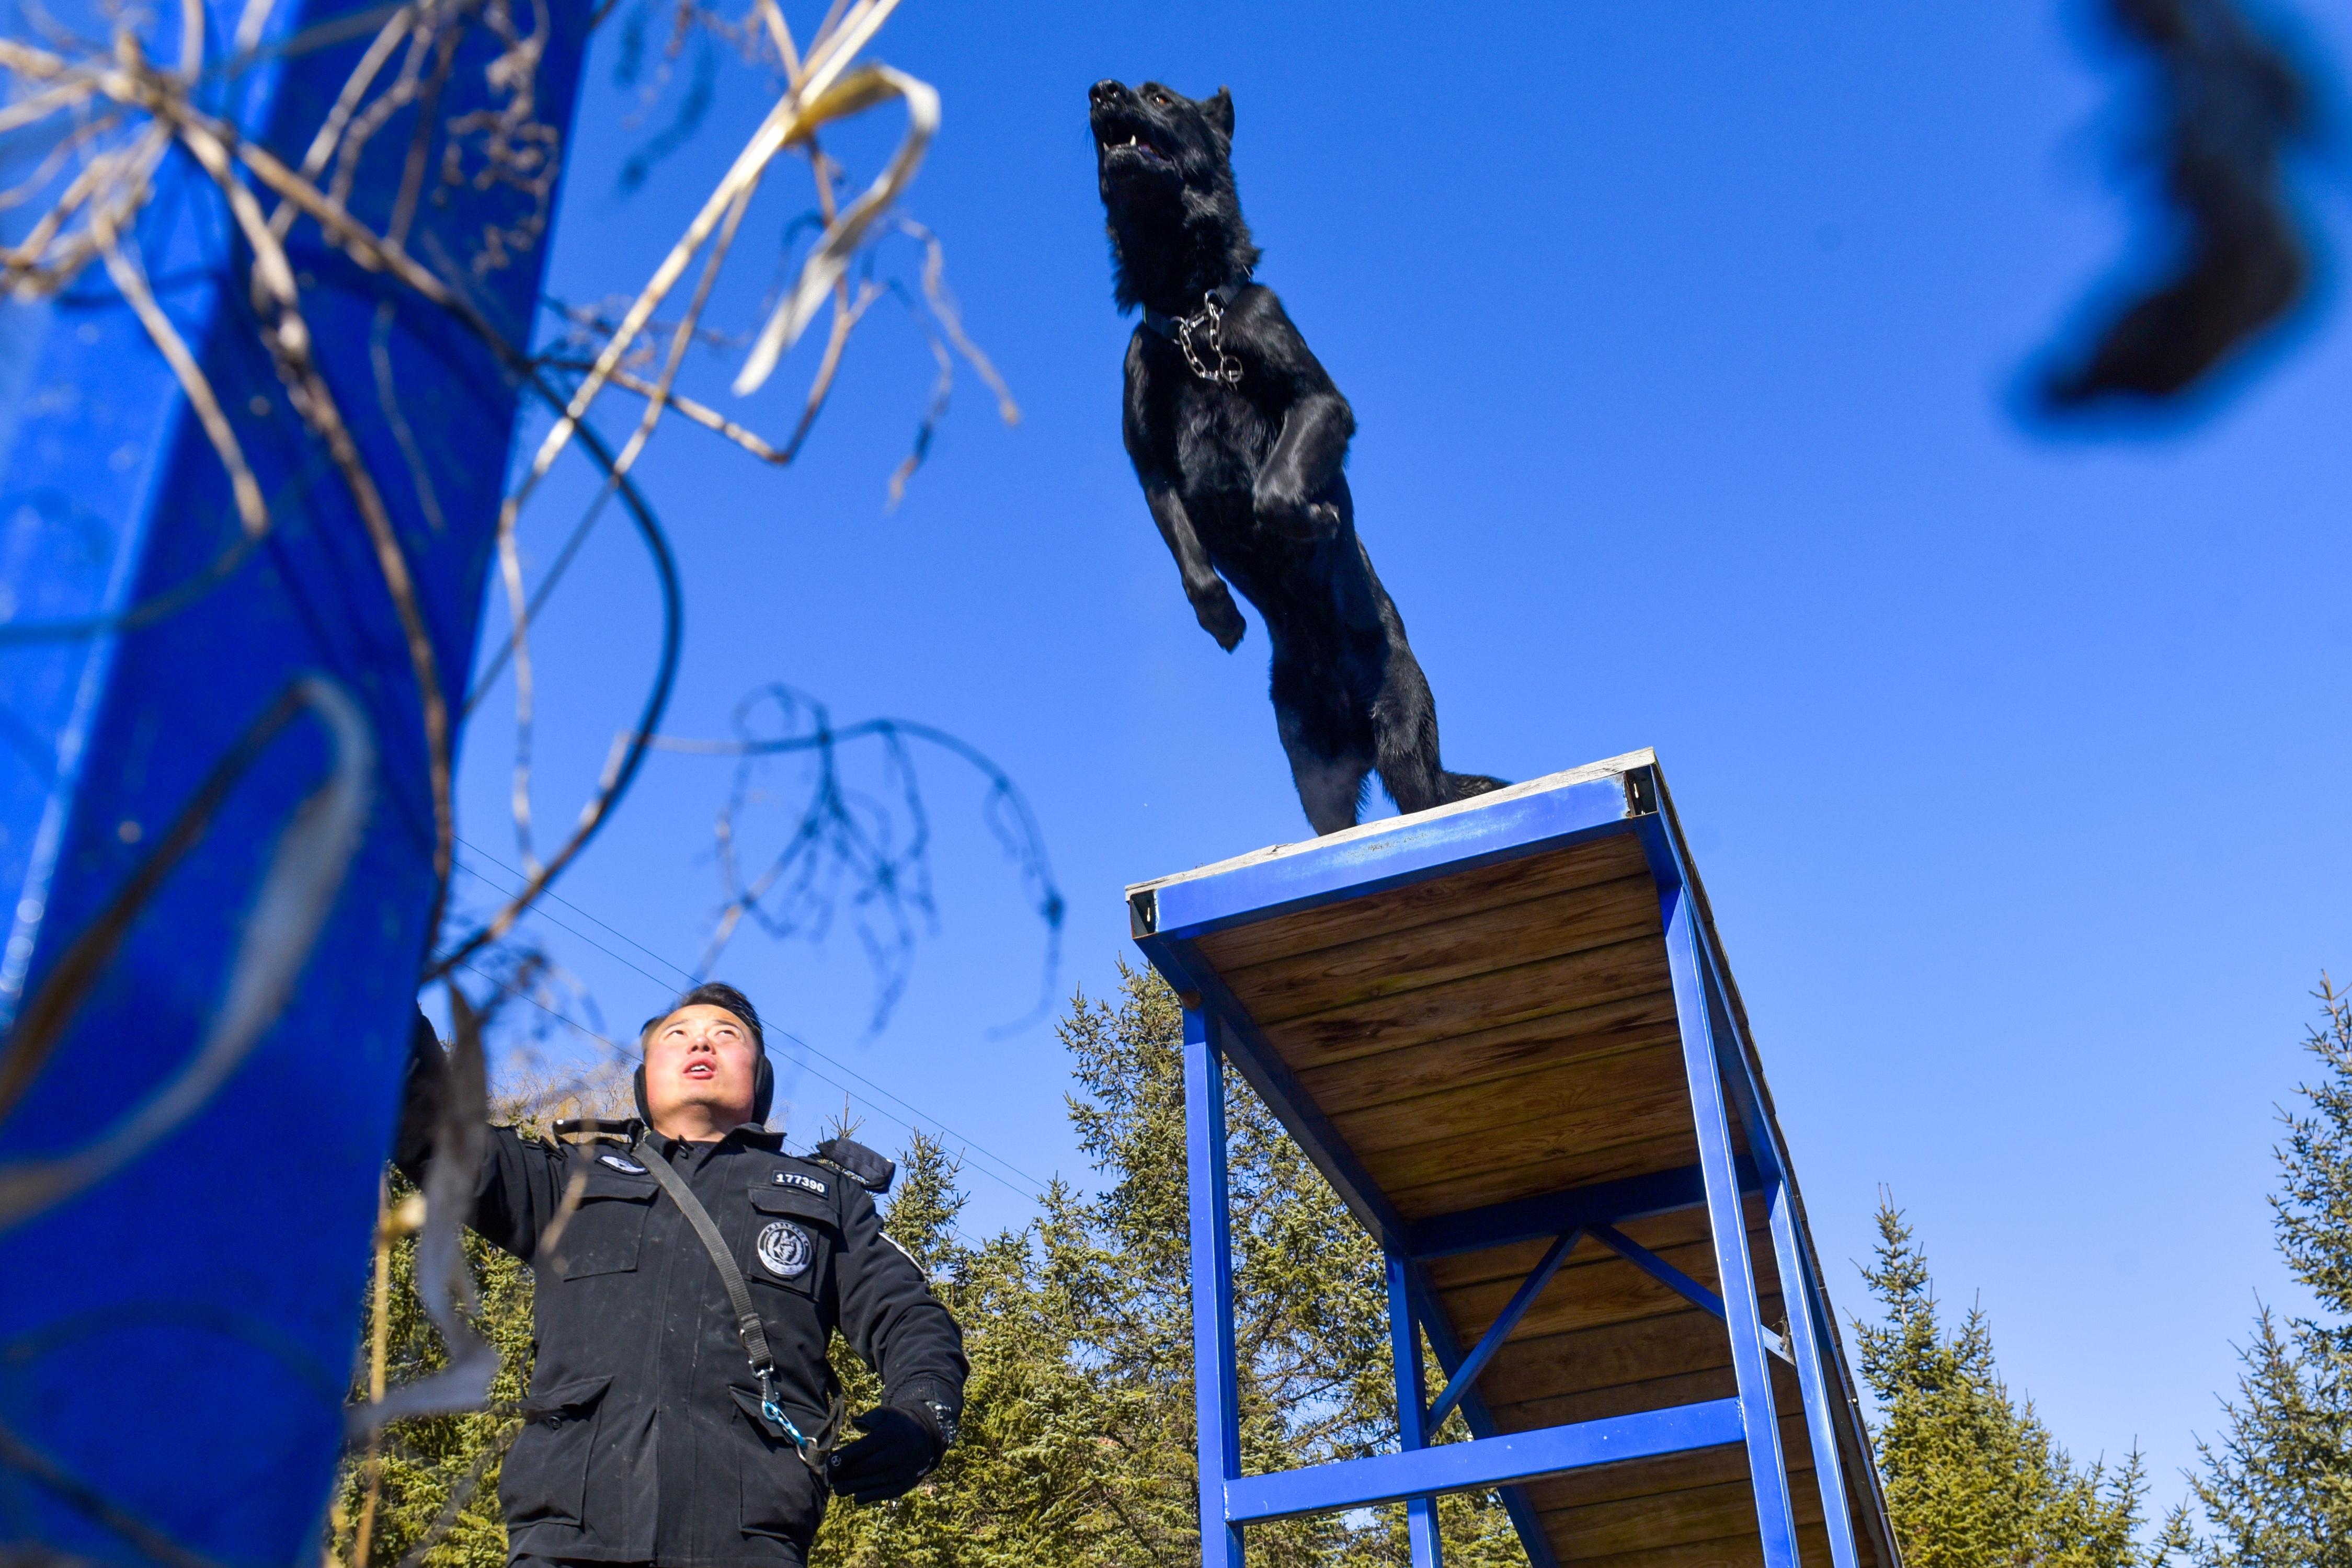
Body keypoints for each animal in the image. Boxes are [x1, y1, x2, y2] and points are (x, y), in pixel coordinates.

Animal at [1089, 78, 1503, 836]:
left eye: (1158, 97)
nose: (1099, 91)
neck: (1191, 313)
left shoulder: (1321, 403)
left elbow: (1275, 485)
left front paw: (1309, 518)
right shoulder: (1151, 469)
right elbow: (1188, 554)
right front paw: (1219, 614)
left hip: (1403, 740)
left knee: (1424, 799)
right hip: (1315, 772)